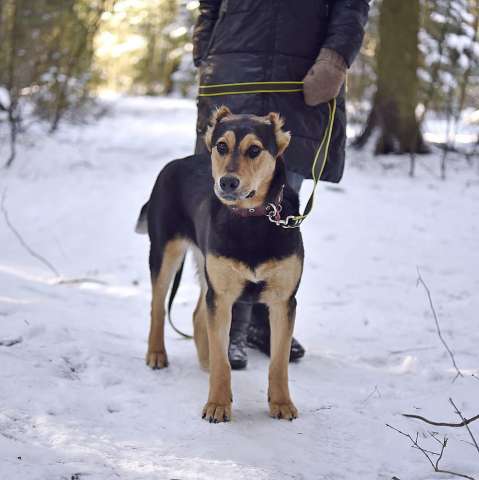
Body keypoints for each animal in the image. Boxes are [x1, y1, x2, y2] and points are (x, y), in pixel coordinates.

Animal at [137, 107, 306, 422]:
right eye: (221, 146)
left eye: (254, 150)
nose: (227, 182)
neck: (252, 220)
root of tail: (176, 162)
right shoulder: (223, 296)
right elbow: (222, 360)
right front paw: (217, 404)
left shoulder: (283, 300)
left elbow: (278, 362)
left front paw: (281, 403)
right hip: (166, 253)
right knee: (158, 306)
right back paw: (156, 354)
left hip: (208, 270)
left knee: (197, 314)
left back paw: (203, 361)